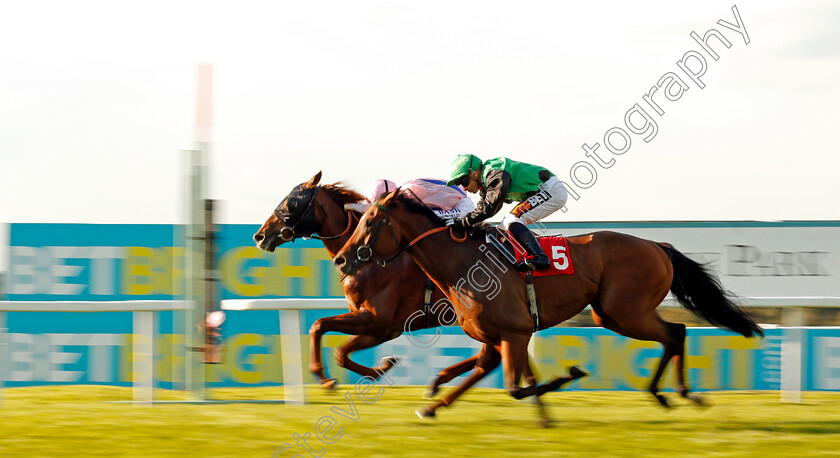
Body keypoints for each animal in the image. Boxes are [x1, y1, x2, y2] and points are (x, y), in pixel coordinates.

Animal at [254, 173, 572, 418]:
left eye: (291, 202)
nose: (259, 236)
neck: (371, 260)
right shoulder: (378, 324)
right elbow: (329, 338)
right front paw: (376, 368)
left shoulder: (380, 323)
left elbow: (330, 340)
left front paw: (347, 375)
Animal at [332, 191, 764, 416]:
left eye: (370, 221)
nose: (343, 260)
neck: (461, 263)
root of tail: (657, 245)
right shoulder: (495, 337)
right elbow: (483, 373)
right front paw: (432, 404)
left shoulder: (515, 332)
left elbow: (515, 388)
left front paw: (566, 376)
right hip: (612, 314)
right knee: (674, 334)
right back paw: (667, 393)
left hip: (626, 311)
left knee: (675, 331)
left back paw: (676, 393)